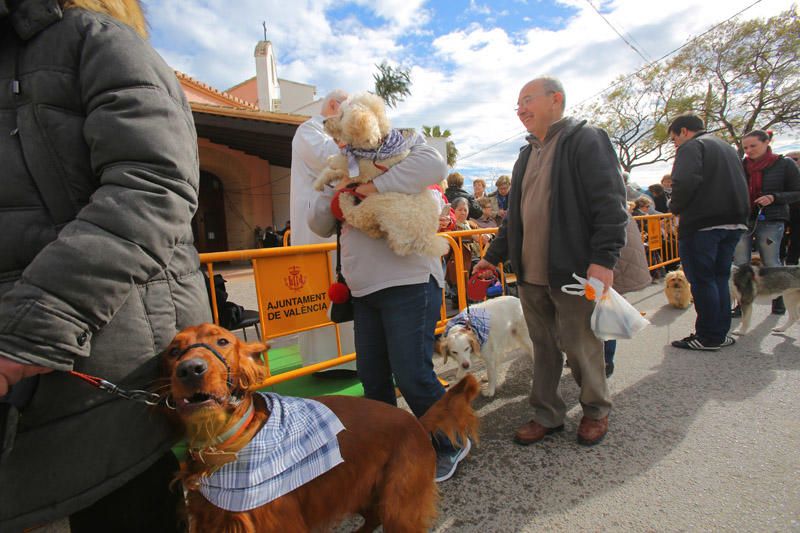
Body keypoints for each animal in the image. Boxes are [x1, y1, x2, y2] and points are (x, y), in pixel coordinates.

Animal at [314, 92, 450, 258]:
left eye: (342, 115)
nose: (324, 121)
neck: (378, 145)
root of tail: (425, 241)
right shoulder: (355, 171)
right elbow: (335, 171)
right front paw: (320, 182)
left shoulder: (367, 170)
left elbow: (345, 162)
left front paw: (333, 159)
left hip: (380, 201)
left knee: (356, 216)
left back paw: (345, 199)